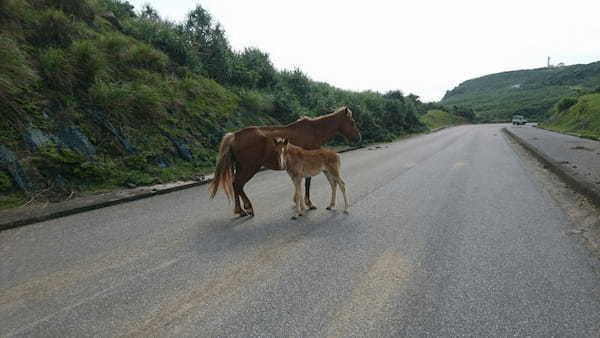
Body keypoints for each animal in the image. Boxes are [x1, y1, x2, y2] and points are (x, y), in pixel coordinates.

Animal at [210, 106, 360, 217]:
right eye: (352, 121)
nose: (359, 137)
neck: (314, 130)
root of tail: (234, 136)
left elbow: (299, 185)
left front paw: (297, 202)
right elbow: (307, 183)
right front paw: (308, 203)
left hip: (241, 167)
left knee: (235, 184)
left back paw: (240, 209)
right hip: (250, 167)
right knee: (238, 184)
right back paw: (247, 208)